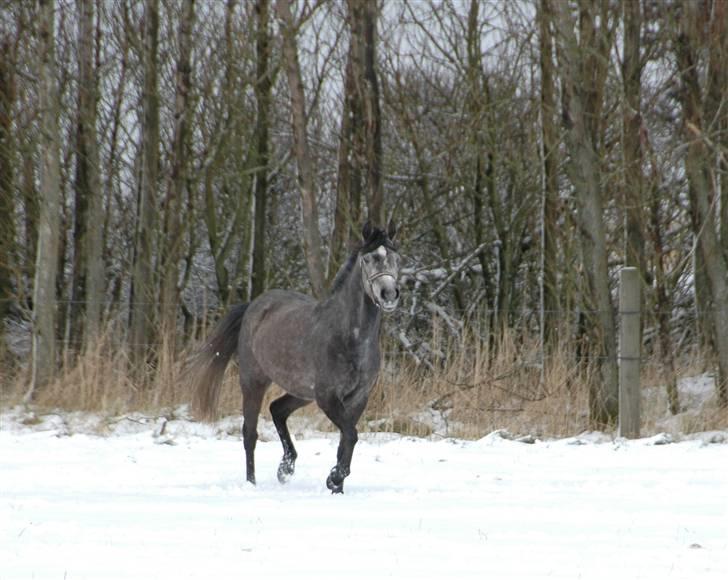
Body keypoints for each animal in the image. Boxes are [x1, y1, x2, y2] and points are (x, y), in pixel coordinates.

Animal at [191, 222, 400, 494]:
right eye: (368, 259)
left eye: (396, 257)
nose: (389, 294)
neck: (351, 338)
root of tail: (253, 306)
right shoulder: (328, 398)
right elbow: (351, 435)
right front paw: (334, 478)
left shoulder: (357, 399)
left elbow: (346, 439)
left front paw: (337, 487)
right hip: (253, 382)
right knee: (250, 433)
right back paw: (251, 483)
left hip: (301, 393)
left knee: (277, 409)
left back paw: (286, 468)